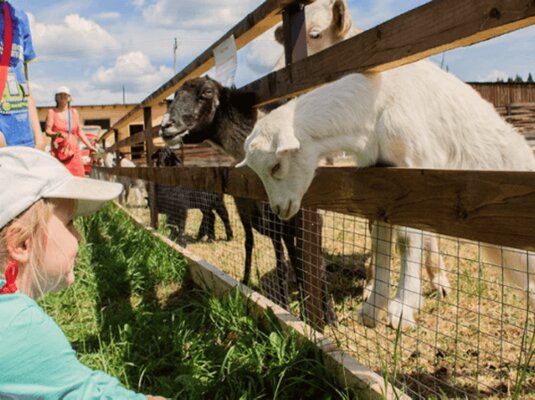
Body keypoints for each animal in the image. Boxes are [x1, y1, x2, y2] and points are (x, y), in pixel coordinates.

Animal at [238, 59, 535, 330]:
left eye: (276, 166)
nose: (279, 209)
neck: (376, 105)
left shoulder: (413, 175)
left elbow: (405, 240)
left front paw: (402, 307)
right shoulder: (380, 186)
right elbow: (381, 241)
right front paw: (373, 307)